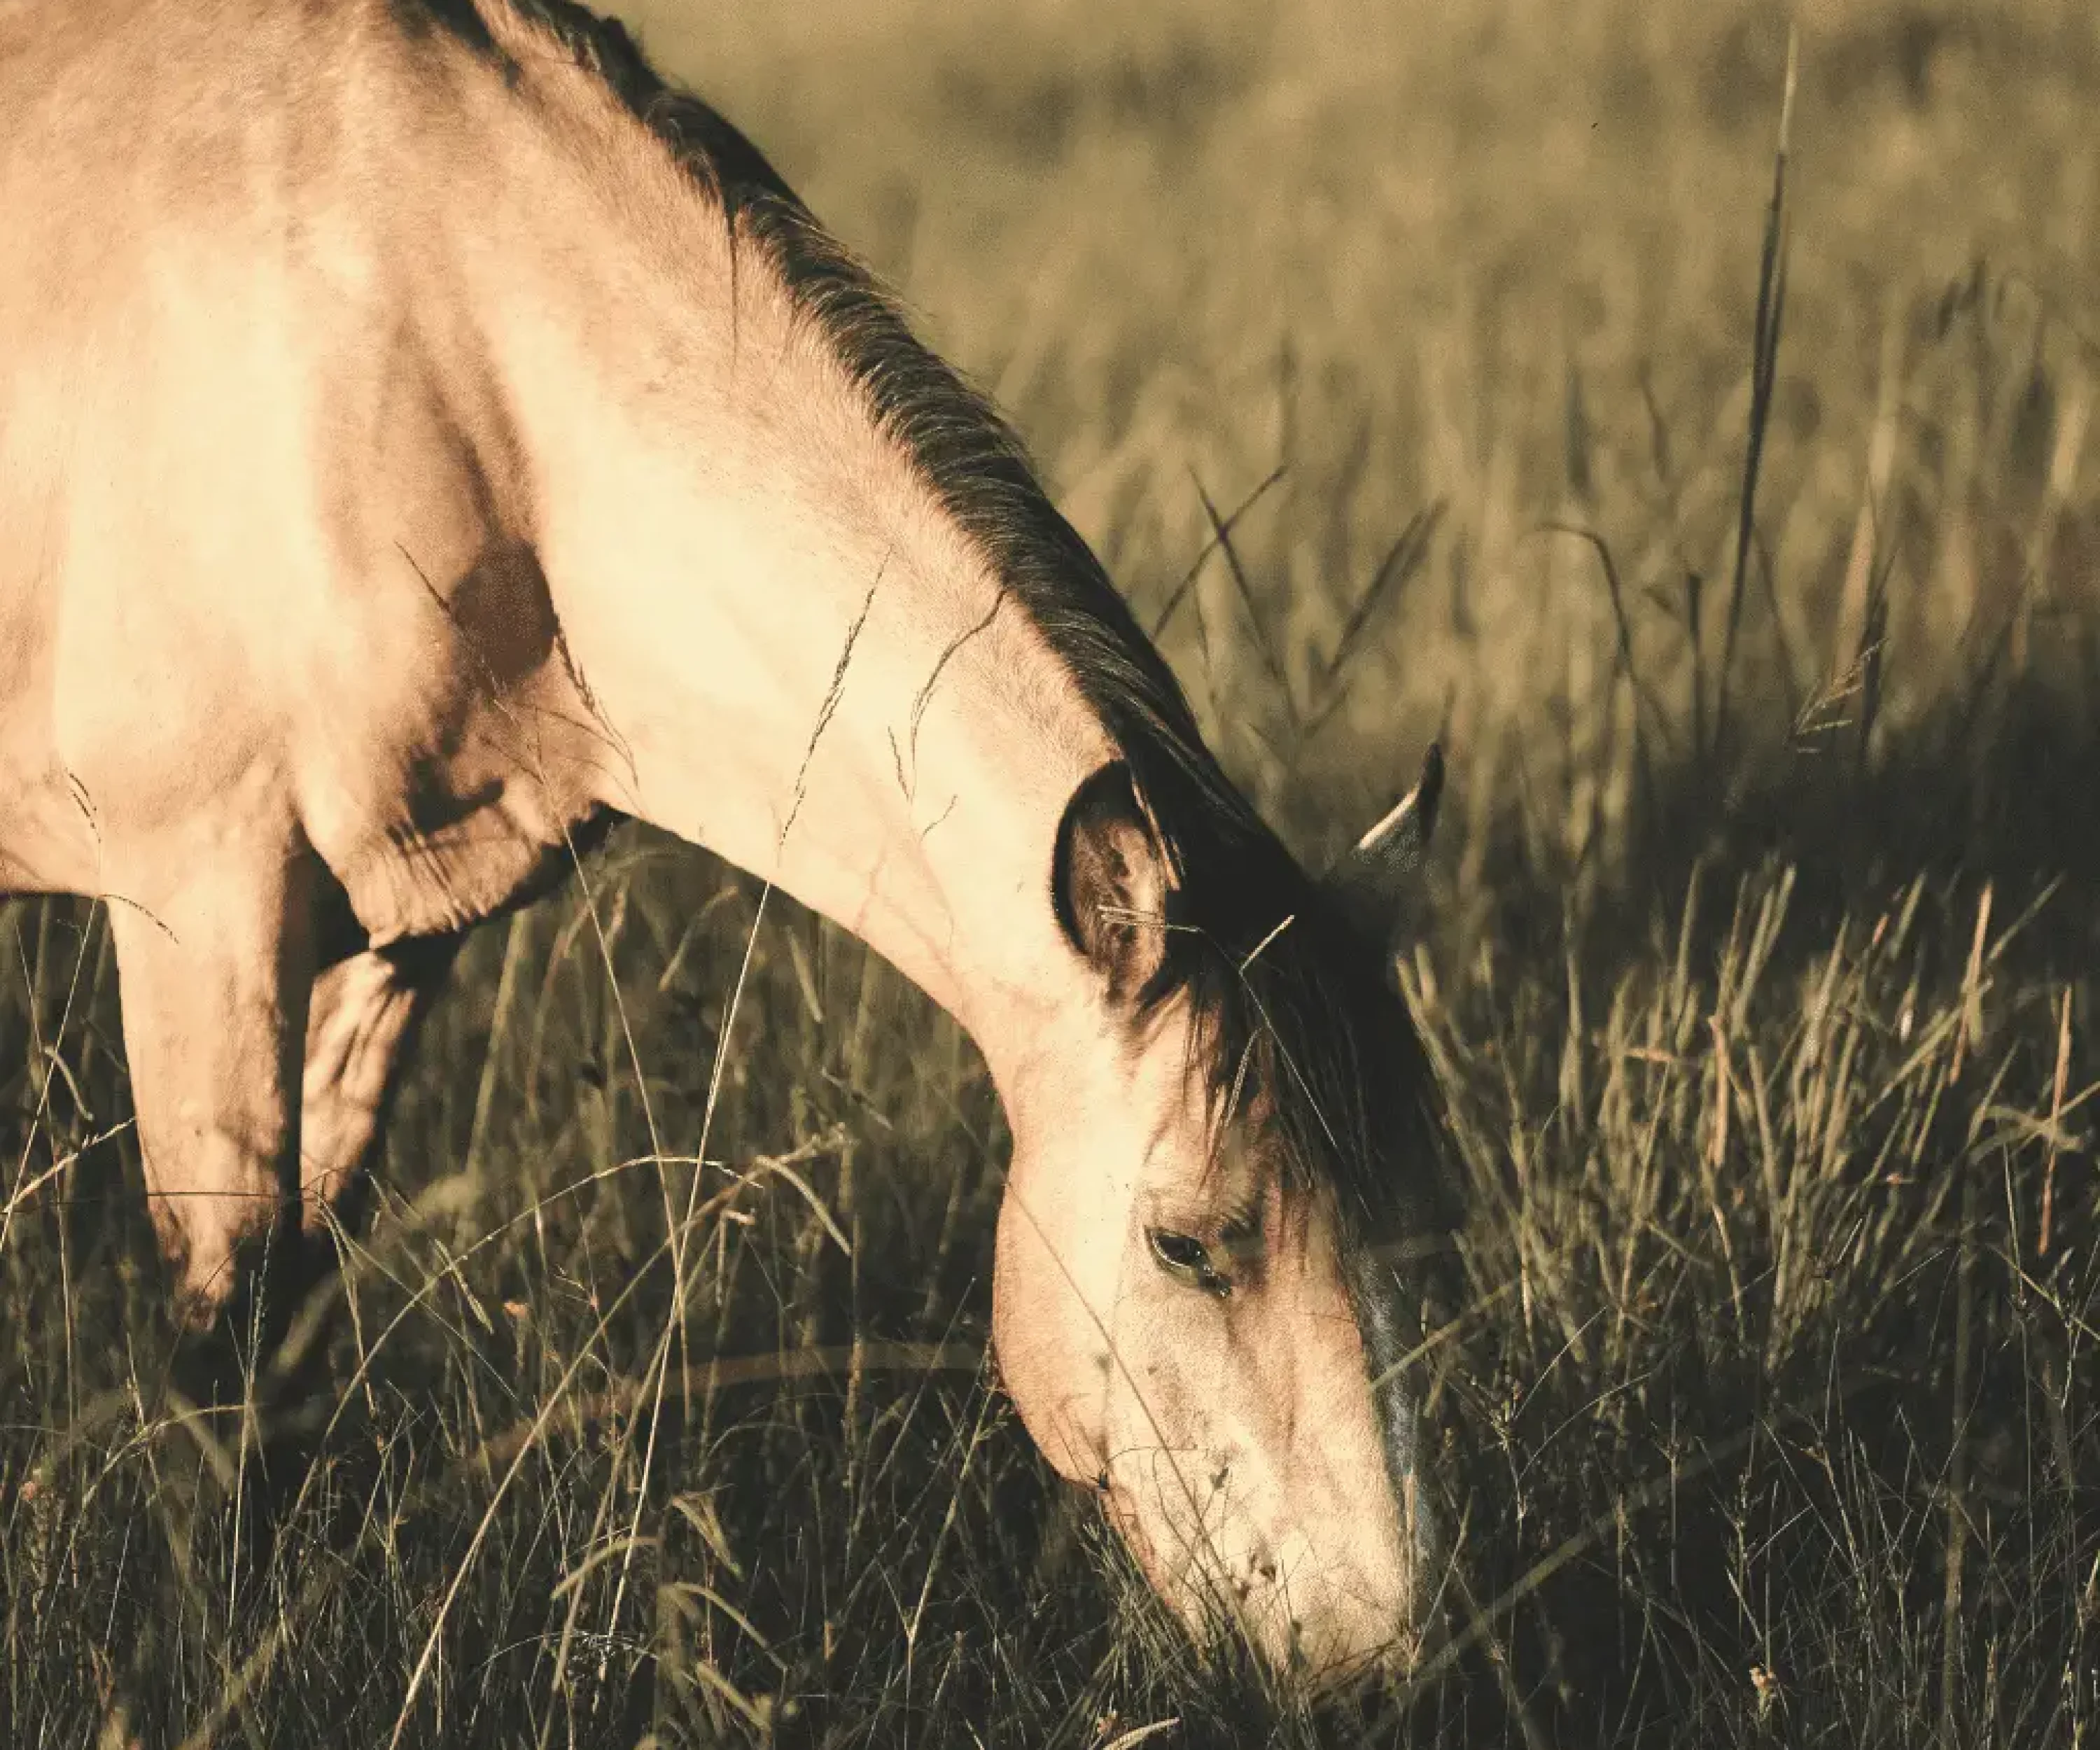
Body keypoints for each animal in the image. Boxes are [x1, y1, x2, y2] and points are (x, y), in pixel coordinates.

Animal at [0, 0, 1470, 1680]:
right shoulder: (205, 894)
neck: (434, 345)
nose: (1378, 1658)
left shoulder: (395, 928)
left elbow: (301, 1304)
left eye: (1422, 1212)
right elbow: (227, 1337)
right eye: (1185, 1244)